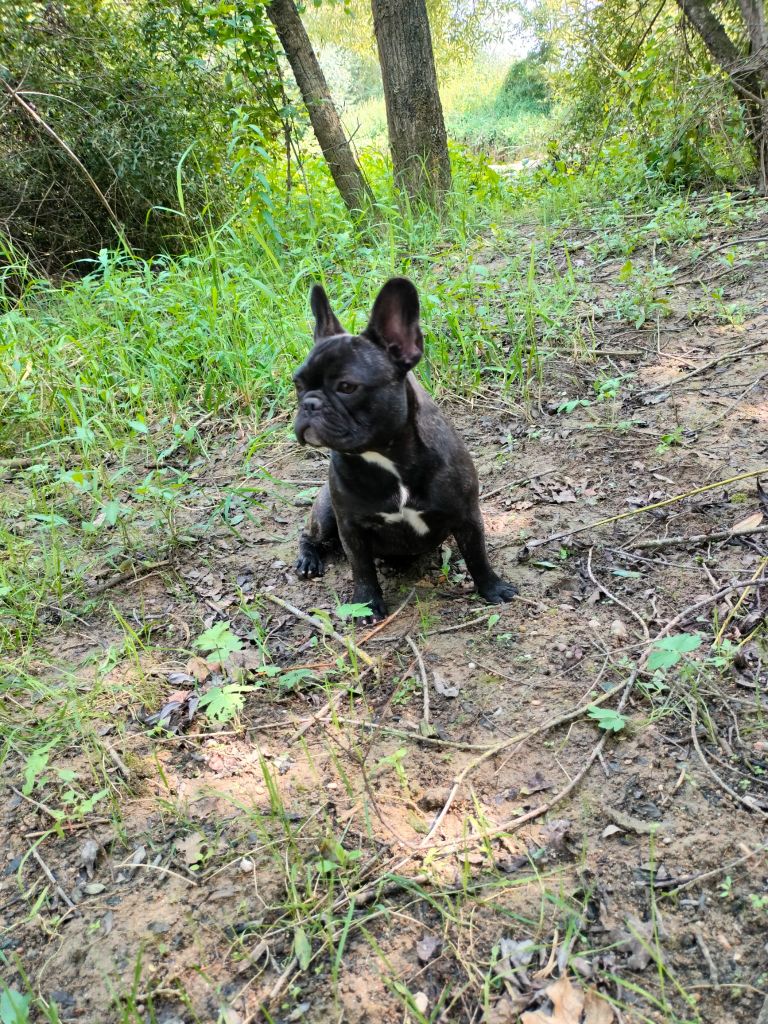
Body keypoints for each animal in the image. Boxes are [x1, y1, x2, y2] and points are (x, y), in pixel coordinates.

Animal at [292, 276, 518, 618]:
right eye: (298, 385)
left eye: (347, 387)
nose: (309, 403)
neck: (386, 455)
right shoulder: (350, 527)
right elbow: (362, 569)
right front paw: (367, 605)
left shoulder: (467, 515)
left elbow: (477, 556)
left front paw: (493, 589)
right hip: (327, 513)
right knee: (310, 534)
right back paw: (308, 559)